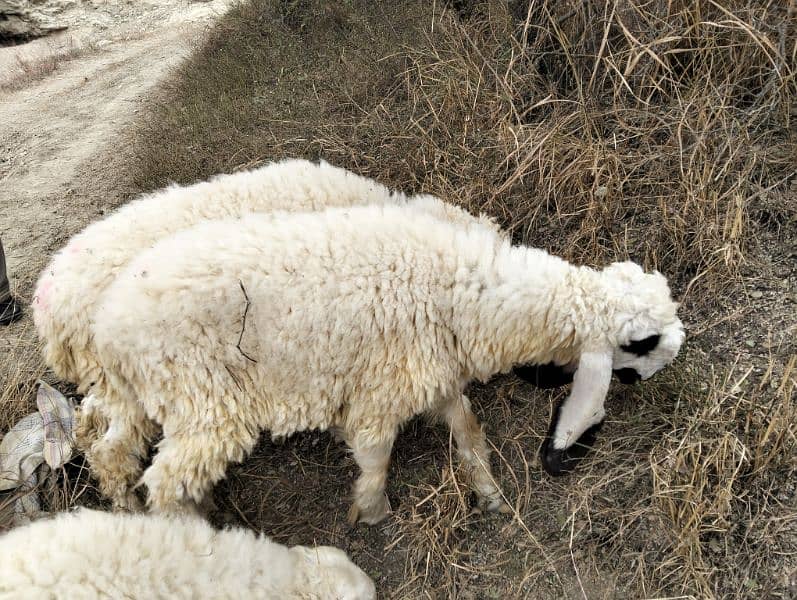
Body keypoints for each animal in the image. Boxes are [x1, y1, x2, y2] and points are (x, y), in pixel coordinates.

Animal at [87, 204, 684, 524]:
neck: (468, 294)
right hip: (205, 404)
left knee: (112, 454)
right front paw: (372, 509)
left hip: (145, 401)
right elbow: (376, 454)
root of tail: (106, 326)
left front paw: (488, 492)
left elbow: (468, 430)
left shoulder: (435, 376)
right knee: (165, 483)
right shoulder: (382, 391)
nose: (648, 382)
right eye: (642, 344)